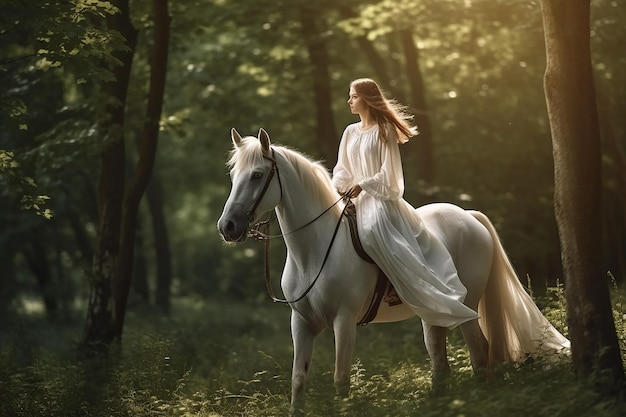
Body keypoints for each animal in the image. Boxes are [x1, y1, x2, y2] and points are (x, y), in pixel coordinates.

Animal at [217, 128, 568, 414]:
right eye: (234, 175)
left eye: (258, 175)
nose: (228, 227)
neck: (314, 252)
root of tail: (468, 216)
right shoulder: (301, 322)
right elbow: (298, 380)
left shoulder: (344, 321)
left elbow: (341, 379)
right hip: (434, 315)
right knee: (441, 362)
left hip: (467, 308)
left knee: (480, 354)